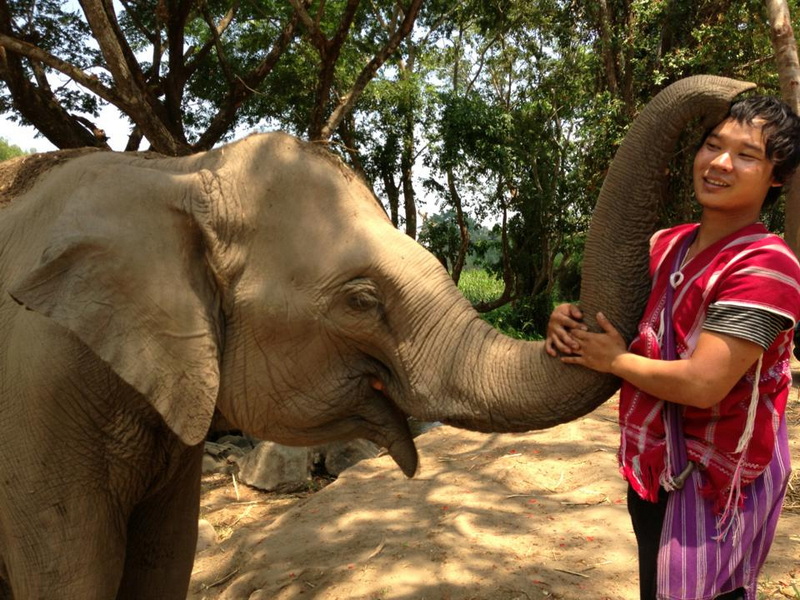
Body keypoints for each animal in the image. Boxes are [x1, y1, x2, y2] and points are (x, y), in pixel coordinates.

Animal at [0, 75, 753, 599]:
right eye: (362, 301)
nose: (745, 92)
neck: (177, 175)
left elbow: (164, 561)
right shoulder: (38, 393)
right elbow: (73, 572)